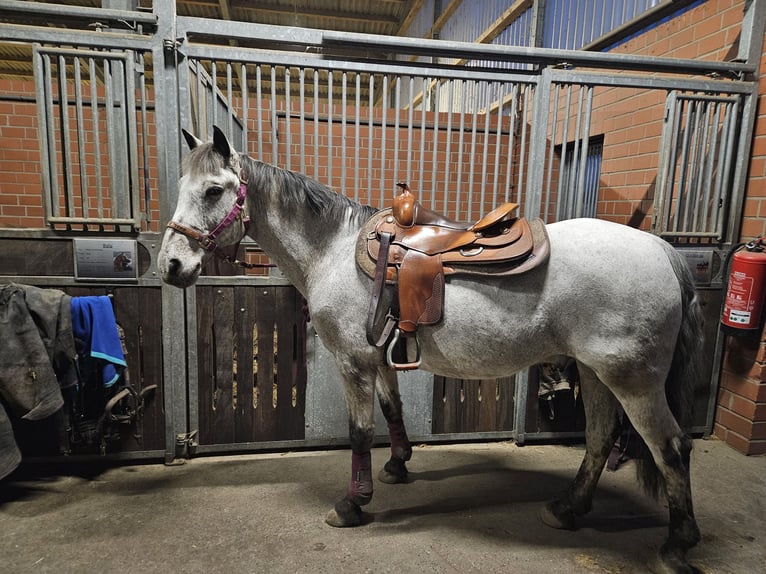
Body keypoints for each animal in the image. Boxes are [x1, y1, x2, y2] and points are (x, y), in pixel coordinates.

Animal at [158, 127, 708, 574]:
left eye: (213, 190)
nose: (170, 266)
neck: (332, 250)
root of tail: (660, 249)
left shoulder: (353, 363)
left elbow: (360, 433)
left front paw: (353, 504)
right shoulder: (378, 358)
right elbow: (392, 409)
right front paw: (398, 465)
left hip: (634, 382)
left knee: (672, 449)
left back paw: (678, 544)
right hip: (596, 374)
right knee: (597, 439)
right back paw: (567, 509)